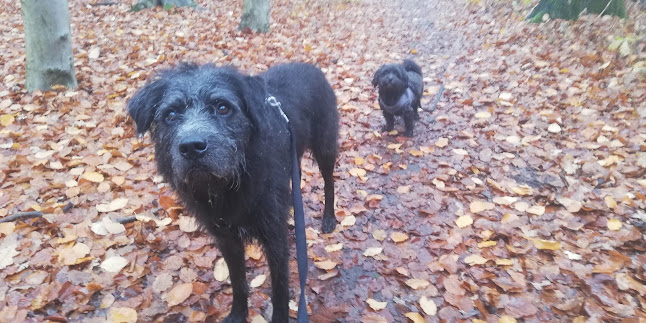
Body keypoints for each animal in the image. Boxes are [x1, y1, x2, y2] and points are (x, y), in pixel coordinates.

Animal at [126, 62, 340, 322]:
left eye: (222, 107)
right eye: (170, 114)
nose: (192, 147)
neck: (228, 186)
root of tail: (310, 66)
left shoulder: (275, 240)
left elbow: (280, 287)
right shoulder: (226, 239)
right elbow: (238, 281)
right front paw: (238, 313)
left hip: (325, 147)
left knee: (329, 183)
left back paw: (329, 218)